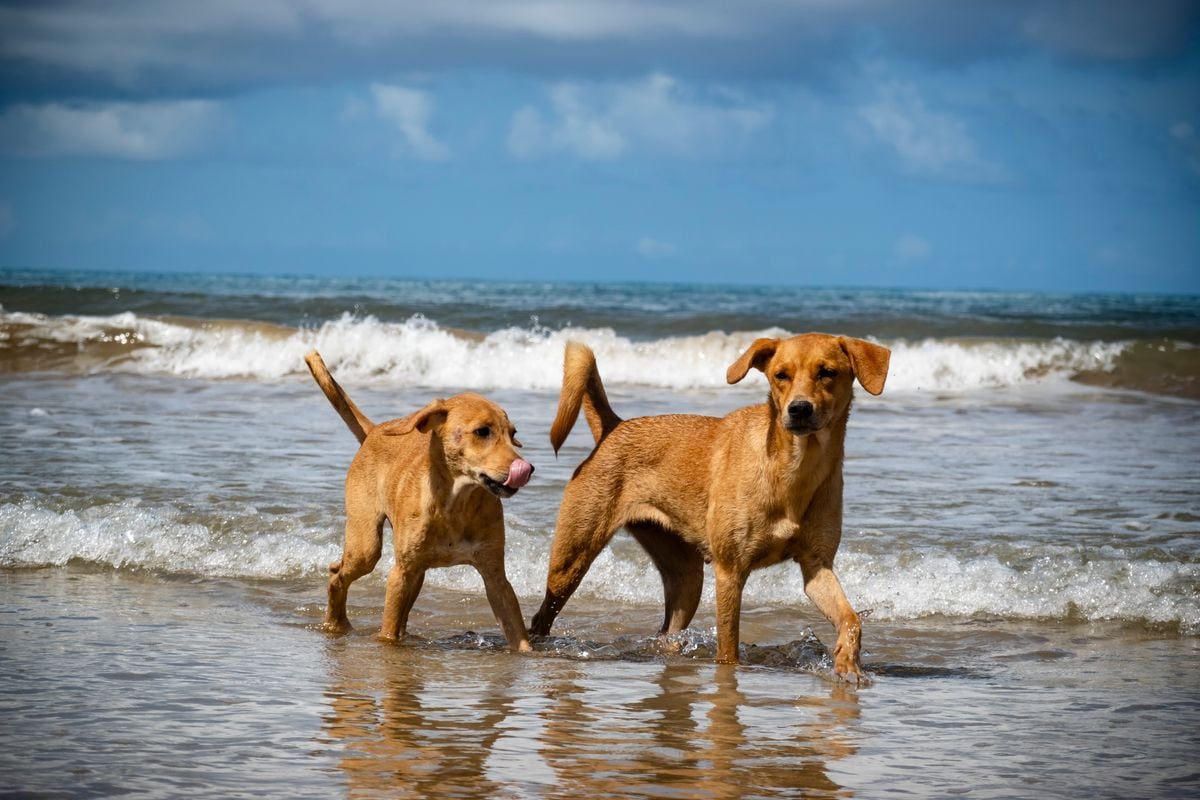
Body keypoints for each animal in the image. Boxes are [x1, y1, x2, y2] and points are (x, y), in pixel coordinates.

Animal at [307, 350, 532, 652]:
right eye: (482, 431)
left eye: (513, 433)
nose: (528, 468)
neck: (455, 506)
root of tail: (374, 431)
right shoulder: (400, 573)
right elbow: (388, 631)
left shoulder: (495, 575)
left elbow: (517, 633)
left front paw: (530, 655)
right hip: (367, 545)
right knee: (337, 575)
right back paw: (336, 624)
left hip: (418, 570)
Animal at [530, 335, 888, 686]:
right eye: (780, 375)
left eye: (827, 372)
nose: (799, 409)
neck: (795, 468)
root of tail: (613, 427)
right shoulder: (730, 571)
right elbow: (728, 647)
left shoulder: (816, 566)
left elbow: (850, 618)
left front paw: (848, 663)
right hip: (571, 559)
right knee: (542, 615)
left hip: (686, 578)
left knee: (669, 631)